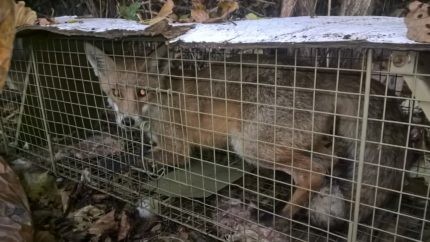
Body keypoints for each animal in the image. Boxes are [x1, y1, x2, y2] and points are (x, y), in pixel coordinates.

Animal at [83, 43, 416, 231]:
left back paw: (281, 217)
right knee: (328, 161)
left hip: (250, 146)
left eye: (141, 92)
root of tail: (318, 74)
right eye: (115, 92)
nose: (126, 120)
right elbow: (132, 154)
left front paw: (107, 166)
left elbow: (133, 159)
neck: (161, 100)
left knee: (314, 172)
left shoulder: (177, 150)